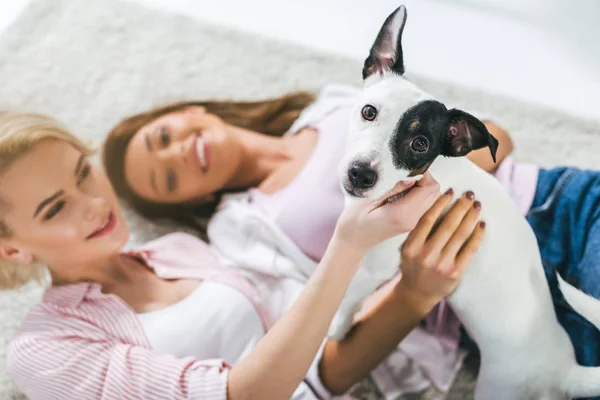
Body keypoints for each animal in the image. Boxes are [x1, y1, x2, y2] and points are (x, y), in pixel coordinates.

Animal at [328, 6, 600, 400]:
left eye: (420, 144)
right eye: (368, 112)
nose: (360, 174)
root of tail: (564, 371)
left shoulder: (374, 266)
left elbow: (349, 297)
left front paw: (336, 328)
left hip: (499, 388)